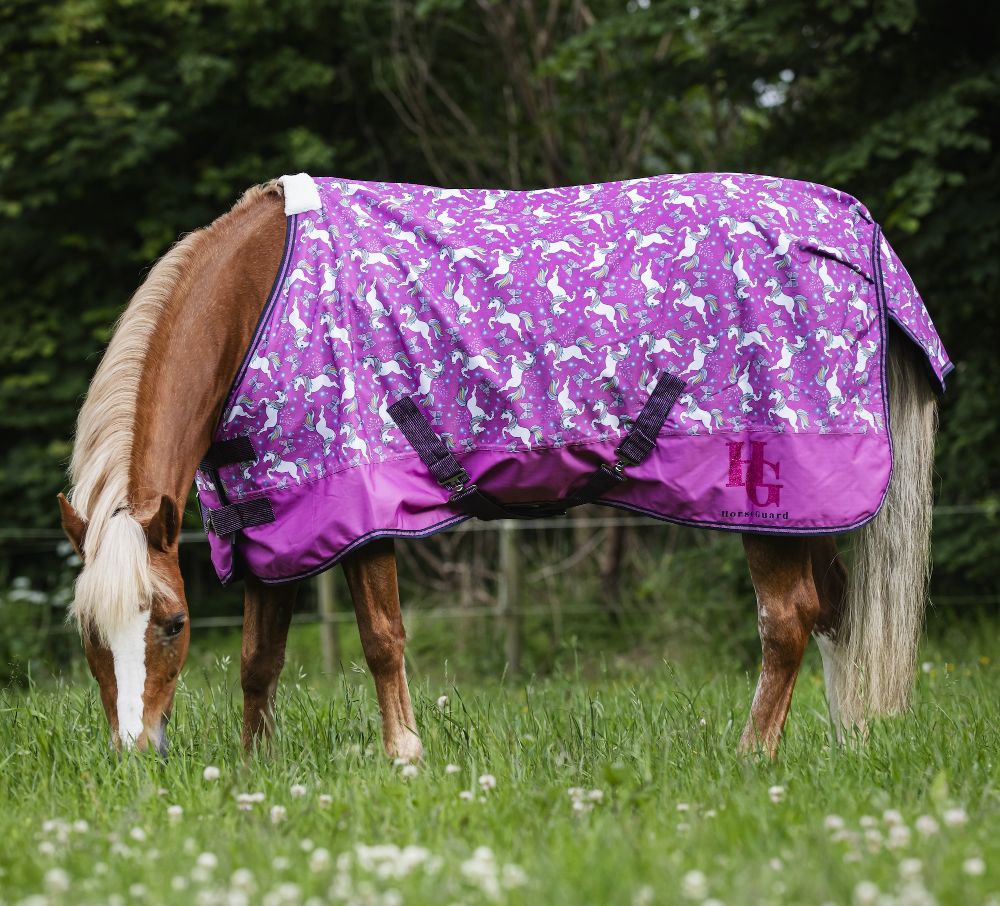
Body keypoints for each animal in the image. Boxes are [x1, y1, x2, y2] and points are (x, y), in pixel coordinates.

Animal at [58, 177, 939, 763]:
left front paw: (404, 758)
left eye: (172, 624)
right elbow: (257, 661)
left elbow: (381, 639)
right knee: (834, 610)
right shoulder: (273, 527)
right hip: (812, 509)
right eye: (89, 635)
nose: (135, 755)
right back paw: (843, 740)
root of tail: (853, 226)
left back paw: (754, 757)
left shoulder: (364, 508)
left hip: (768, 497)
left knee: (787, 619)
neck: (258, 301)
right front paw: (253, 770)